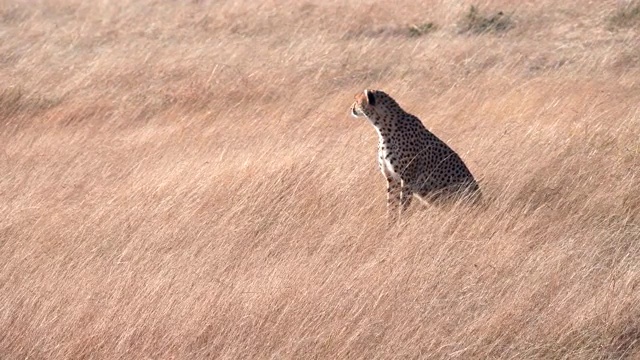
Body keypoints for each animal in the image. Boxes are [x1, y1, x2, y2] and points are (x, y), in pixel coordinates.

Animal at [350, 88, 480, 221]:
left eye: (357, 100)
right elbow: (391, 204)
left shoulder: (407, 180)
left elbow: (402, 204)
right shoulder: (392, 178)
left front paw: (400, 222)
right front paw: (390, 223)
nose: (351, 108)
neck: (382, 128)